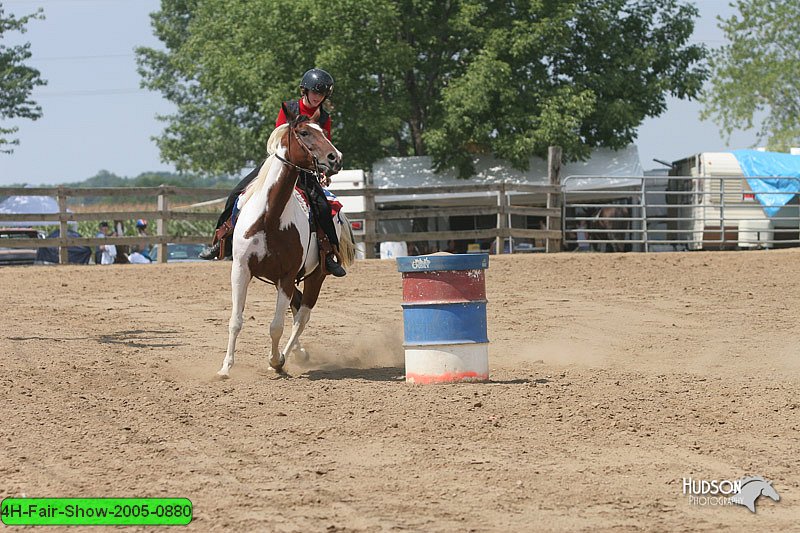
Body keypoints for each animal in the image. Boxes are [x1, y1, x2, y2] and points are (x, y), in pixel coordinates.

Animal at [219, 104, 356, 376]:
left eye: (323, 131)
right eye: (304, 132)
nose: (335, 158)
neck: (269, 218)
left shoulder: (286, 276)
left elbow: (276, 326)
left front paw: (275, 361)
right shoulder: (241, 269)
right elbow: (236, 320)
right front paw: (226, 368)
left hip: (316, 275)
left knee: (301, 316)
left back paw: (286, 355)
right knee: (296, 306)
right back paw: (297, 352)